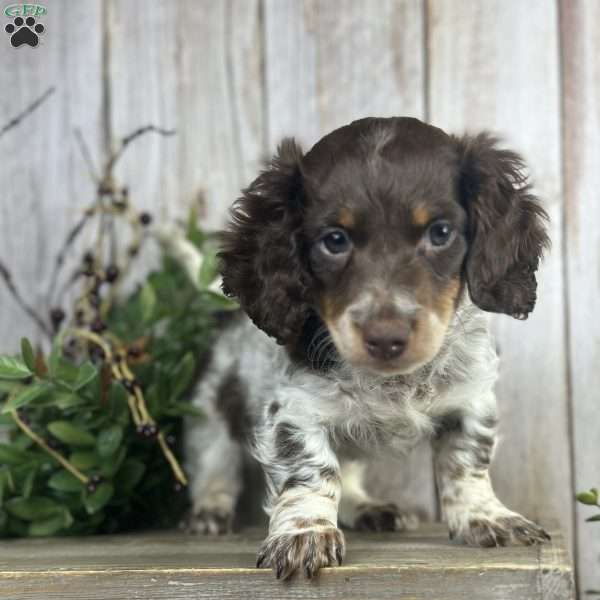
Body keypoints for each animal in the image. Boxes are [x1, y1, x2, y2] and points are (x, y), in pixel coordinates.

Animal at [185, 115, 552, 580]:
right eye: (334, 240)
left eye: (440, 232)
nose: (386, 337)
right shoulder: (295, 409)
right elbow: (312, 472)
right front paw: (305, 534)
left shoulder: (471, 398)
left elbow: (467, 460)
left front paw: (485, 516)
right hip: (211, 409)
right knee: (215, 462)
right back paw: (210, 510)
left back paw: (366, 508)